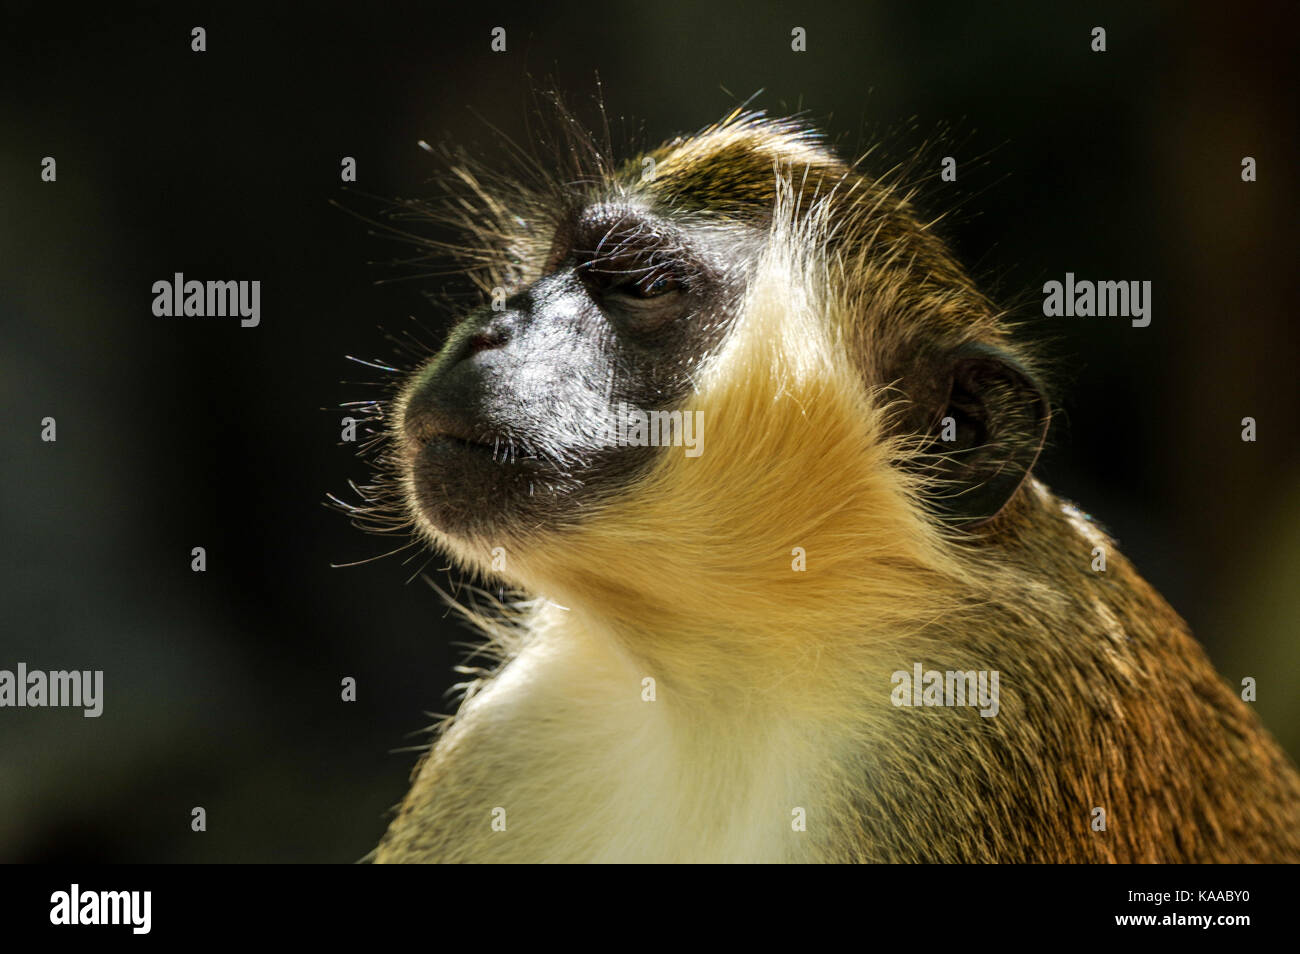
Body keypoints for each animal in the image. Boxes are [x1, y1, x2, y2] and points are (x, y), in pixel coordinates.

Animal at [351, 106, 1300, 868]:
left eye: (642, 284)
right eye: (546, 270)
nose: (487, 330)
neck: (721, 686)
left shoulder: (968, 731)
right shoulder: (511, 742)